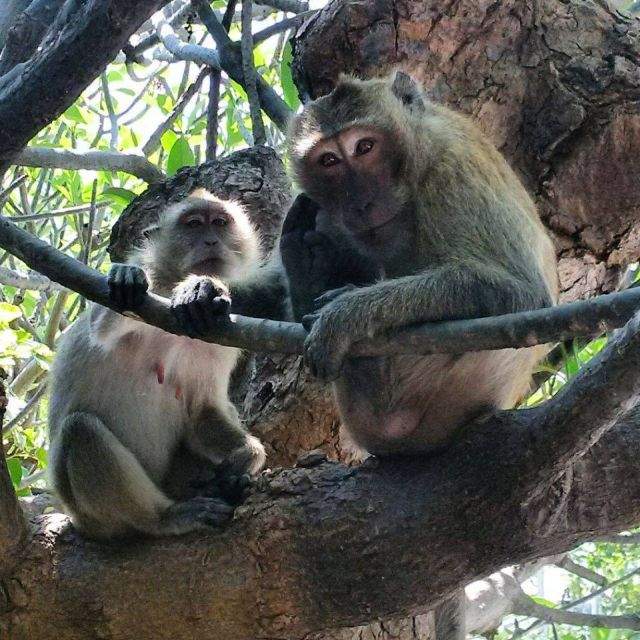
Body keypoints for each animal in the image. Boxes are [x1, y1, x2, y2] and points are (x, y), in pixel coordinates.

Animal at [48, 189, 266, 540]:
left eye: (220, 223)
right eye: (194, 224)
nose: (210, 241)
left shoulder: (221, 335)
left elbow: (202, 408)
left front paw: (248, 455)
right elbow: (102, 328)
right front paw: (132, 278)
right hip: (87, 513)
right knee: (79, 429)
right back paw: (165, 517)